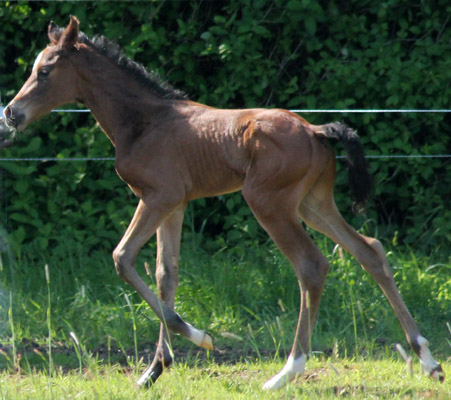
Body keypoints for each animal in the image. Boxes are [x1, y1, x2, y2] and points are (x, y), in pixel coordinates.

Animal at [2, 17, 444, 390]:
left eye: (44, 72)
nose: (11, 113)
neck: (143, 121)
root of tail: (317, 129)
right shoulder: (174, 204)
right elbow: (166, 274)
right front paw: (154, 370)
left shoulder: (158, 197)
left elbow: (123, 258)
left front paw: (201, 338)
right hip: (313, 204)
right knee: (369, 251)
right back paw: (428, 359)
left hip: (270, 204)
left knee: (312, 266)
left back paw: (286, 373)